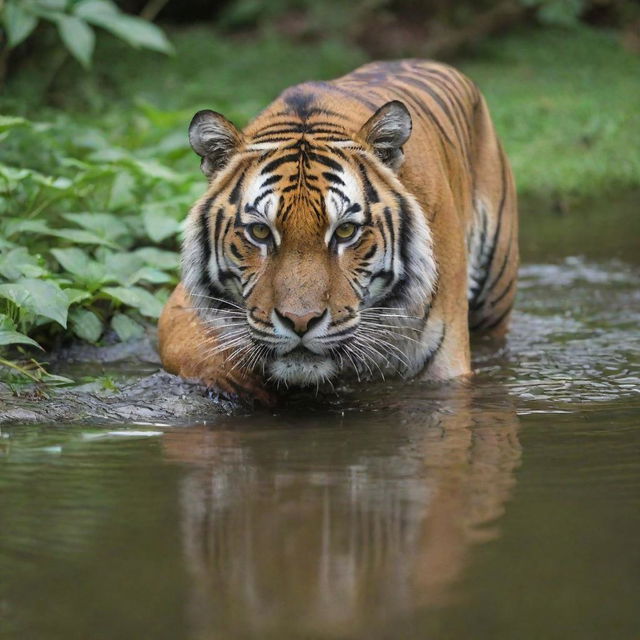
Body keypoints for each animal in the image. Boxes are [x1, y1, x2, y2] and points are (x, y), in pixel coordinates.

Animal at [158, 57, 516, 402]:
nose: (300, 321)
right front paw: (239, 383)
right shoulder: (181, 306)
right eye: (260, 232)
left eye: (345, 232)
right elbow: (192, 345)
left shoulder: (445, 363)